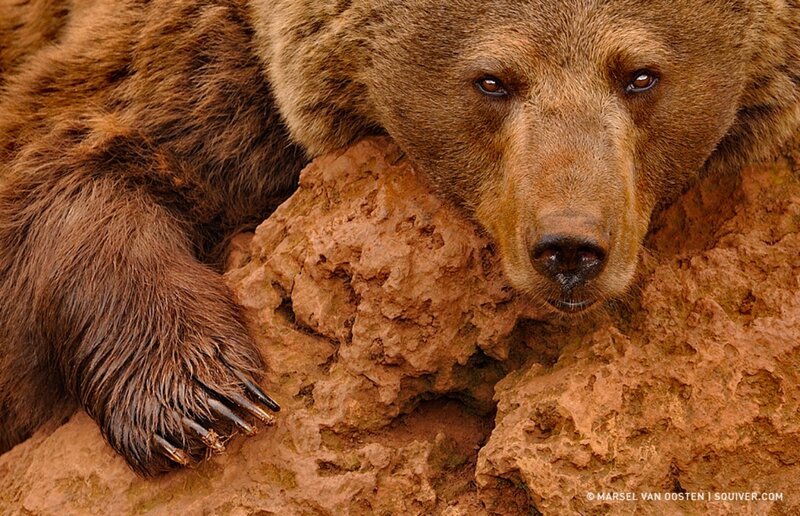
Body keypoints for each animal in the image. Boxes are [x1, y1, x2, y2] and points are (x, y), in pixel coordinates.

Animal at [1, 0, 798, 476]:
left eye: (641, 76)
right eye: (492, 80)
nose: (570, 247)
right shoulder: (196, 74)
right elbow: (72, 155)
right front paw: (201, 403)